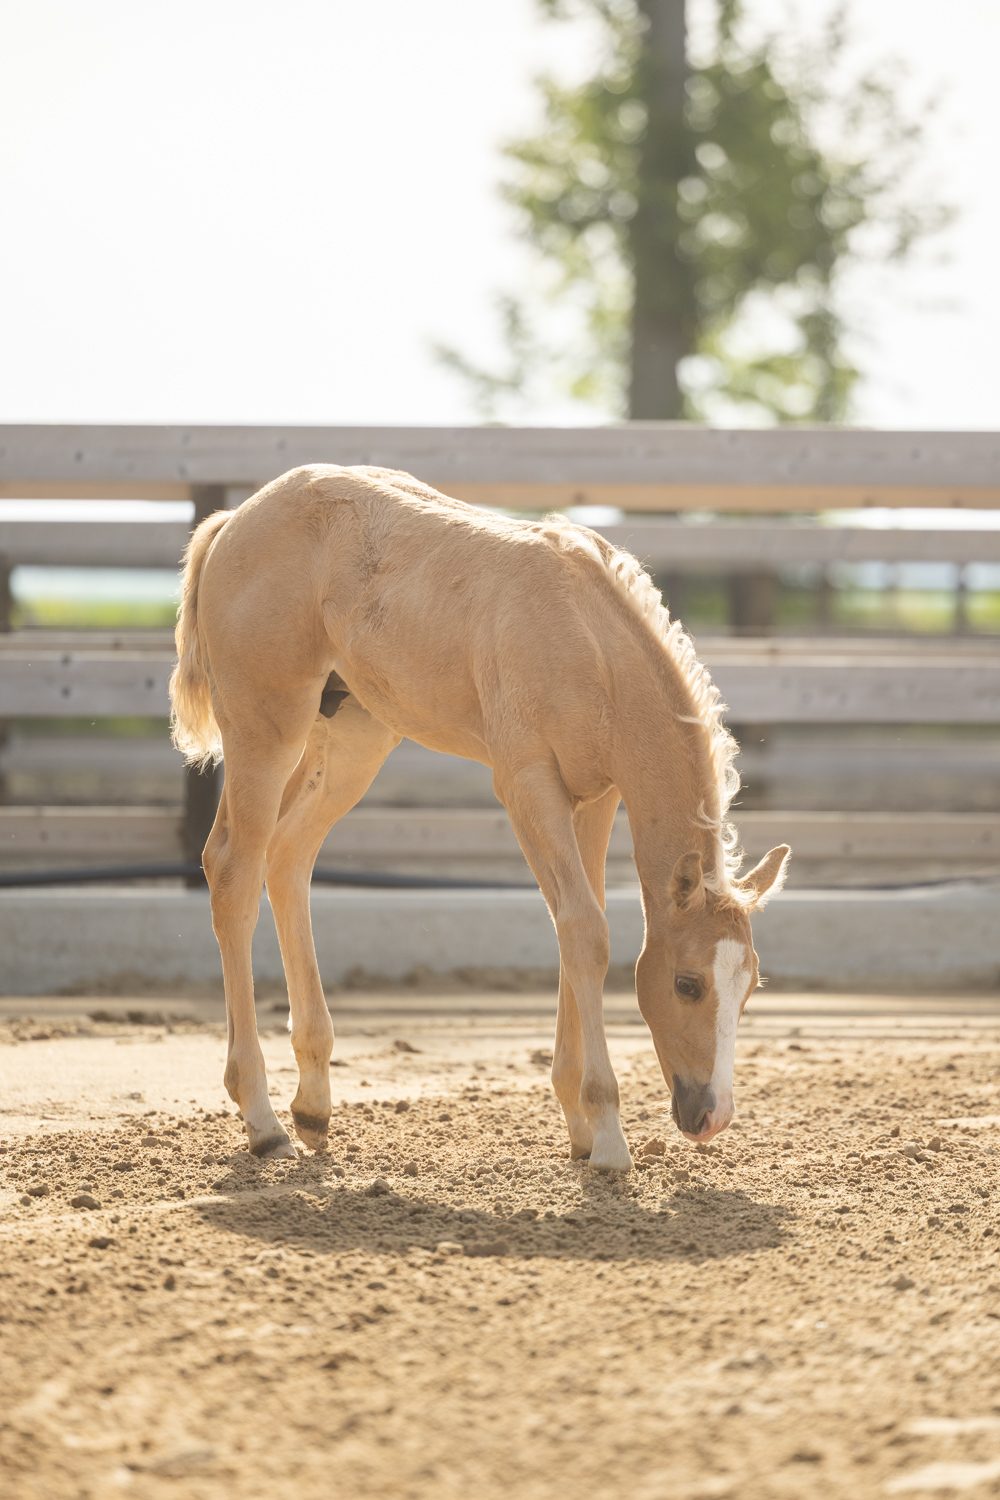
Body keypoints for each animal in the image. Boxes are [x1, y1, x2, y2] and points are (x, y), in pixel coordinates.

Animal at [169, 464, 790, 1170]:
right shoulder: (526, 783)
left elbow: (580, 924)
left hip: (355, 734)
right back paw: (263, 1119)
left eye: (750, 985)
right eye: (687, 984)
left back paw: (314, 1106)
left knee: (288, 855)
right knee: (234, 868)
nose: (711, 1117)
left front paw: (579, 1127)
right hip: (266, 727)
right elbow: (586, 931)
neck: (589, 640)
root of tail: (233, 523)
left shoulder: (596, 795)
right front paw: (607, 1137)